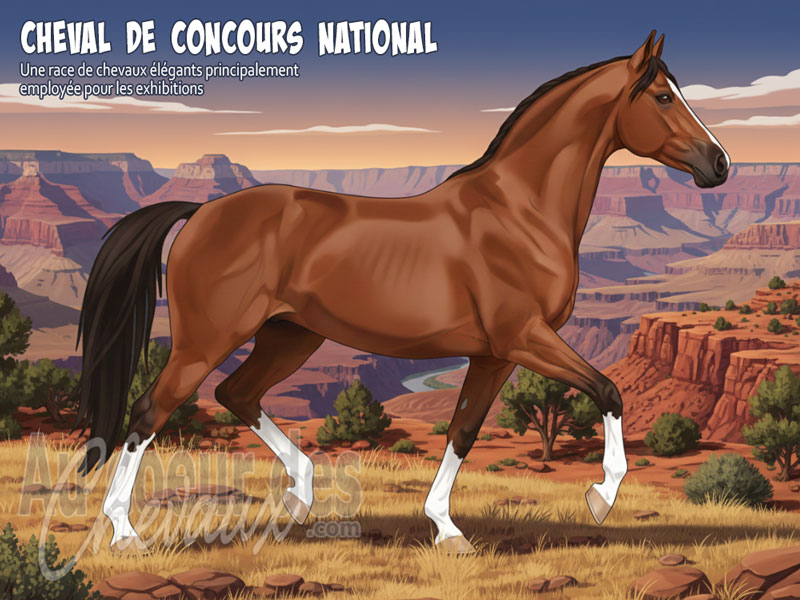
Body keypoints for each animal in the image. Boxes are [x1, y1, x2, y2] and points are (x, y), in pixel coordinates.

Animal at [71, 30, 729, 554]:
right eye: (663, 96)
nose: (719, 165)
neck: (519, 211)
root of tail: (201, 211)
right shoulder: (525, 338)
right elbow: (610, 390)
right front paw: (600, 497)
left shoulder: (493, 354)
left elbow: (462, 431)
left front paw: (447, 530)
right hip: (207, 341)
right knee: (148, 413)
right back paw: (126, 533)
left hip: (292, 335)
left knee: (238, 393)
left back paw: (301, 497)